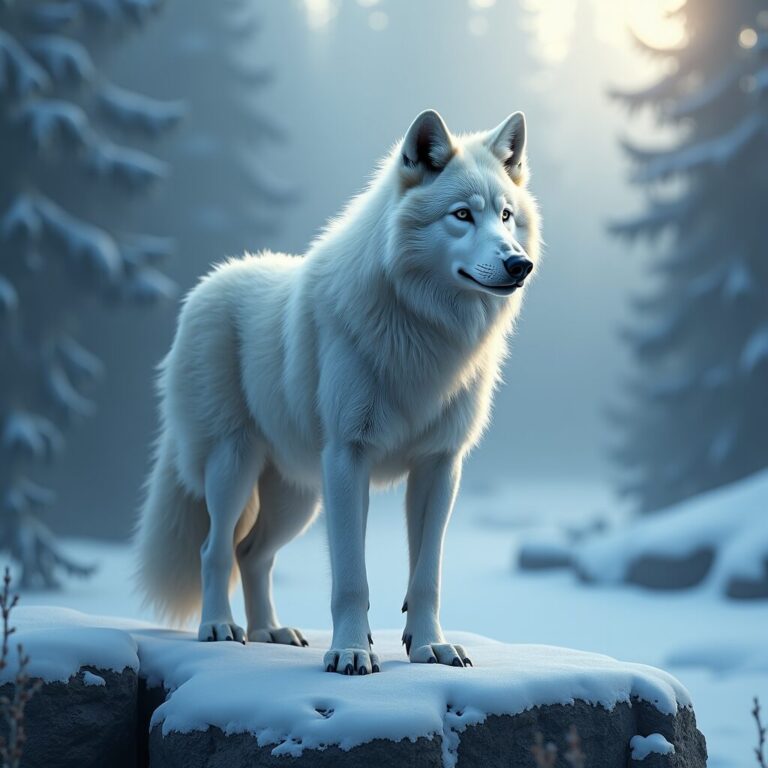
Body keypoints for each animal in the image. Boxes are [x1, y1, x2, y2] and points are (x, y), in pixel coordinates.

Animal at [135, 109, 541, 674]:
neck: (424, 330)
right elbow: (351, 579)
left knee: (252, 554)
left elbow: (427, 576)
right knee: (213, 550)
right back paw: (219, 628)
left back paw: (270, 632)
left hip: (298, 499)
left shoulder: (440, 466)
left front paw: (431, 647)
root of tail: (212, 279)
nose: (518, 264)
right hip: (232, 468)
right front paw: (351, 652)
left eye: (505, 216)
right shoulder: (349, 459)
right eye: (461, 215)